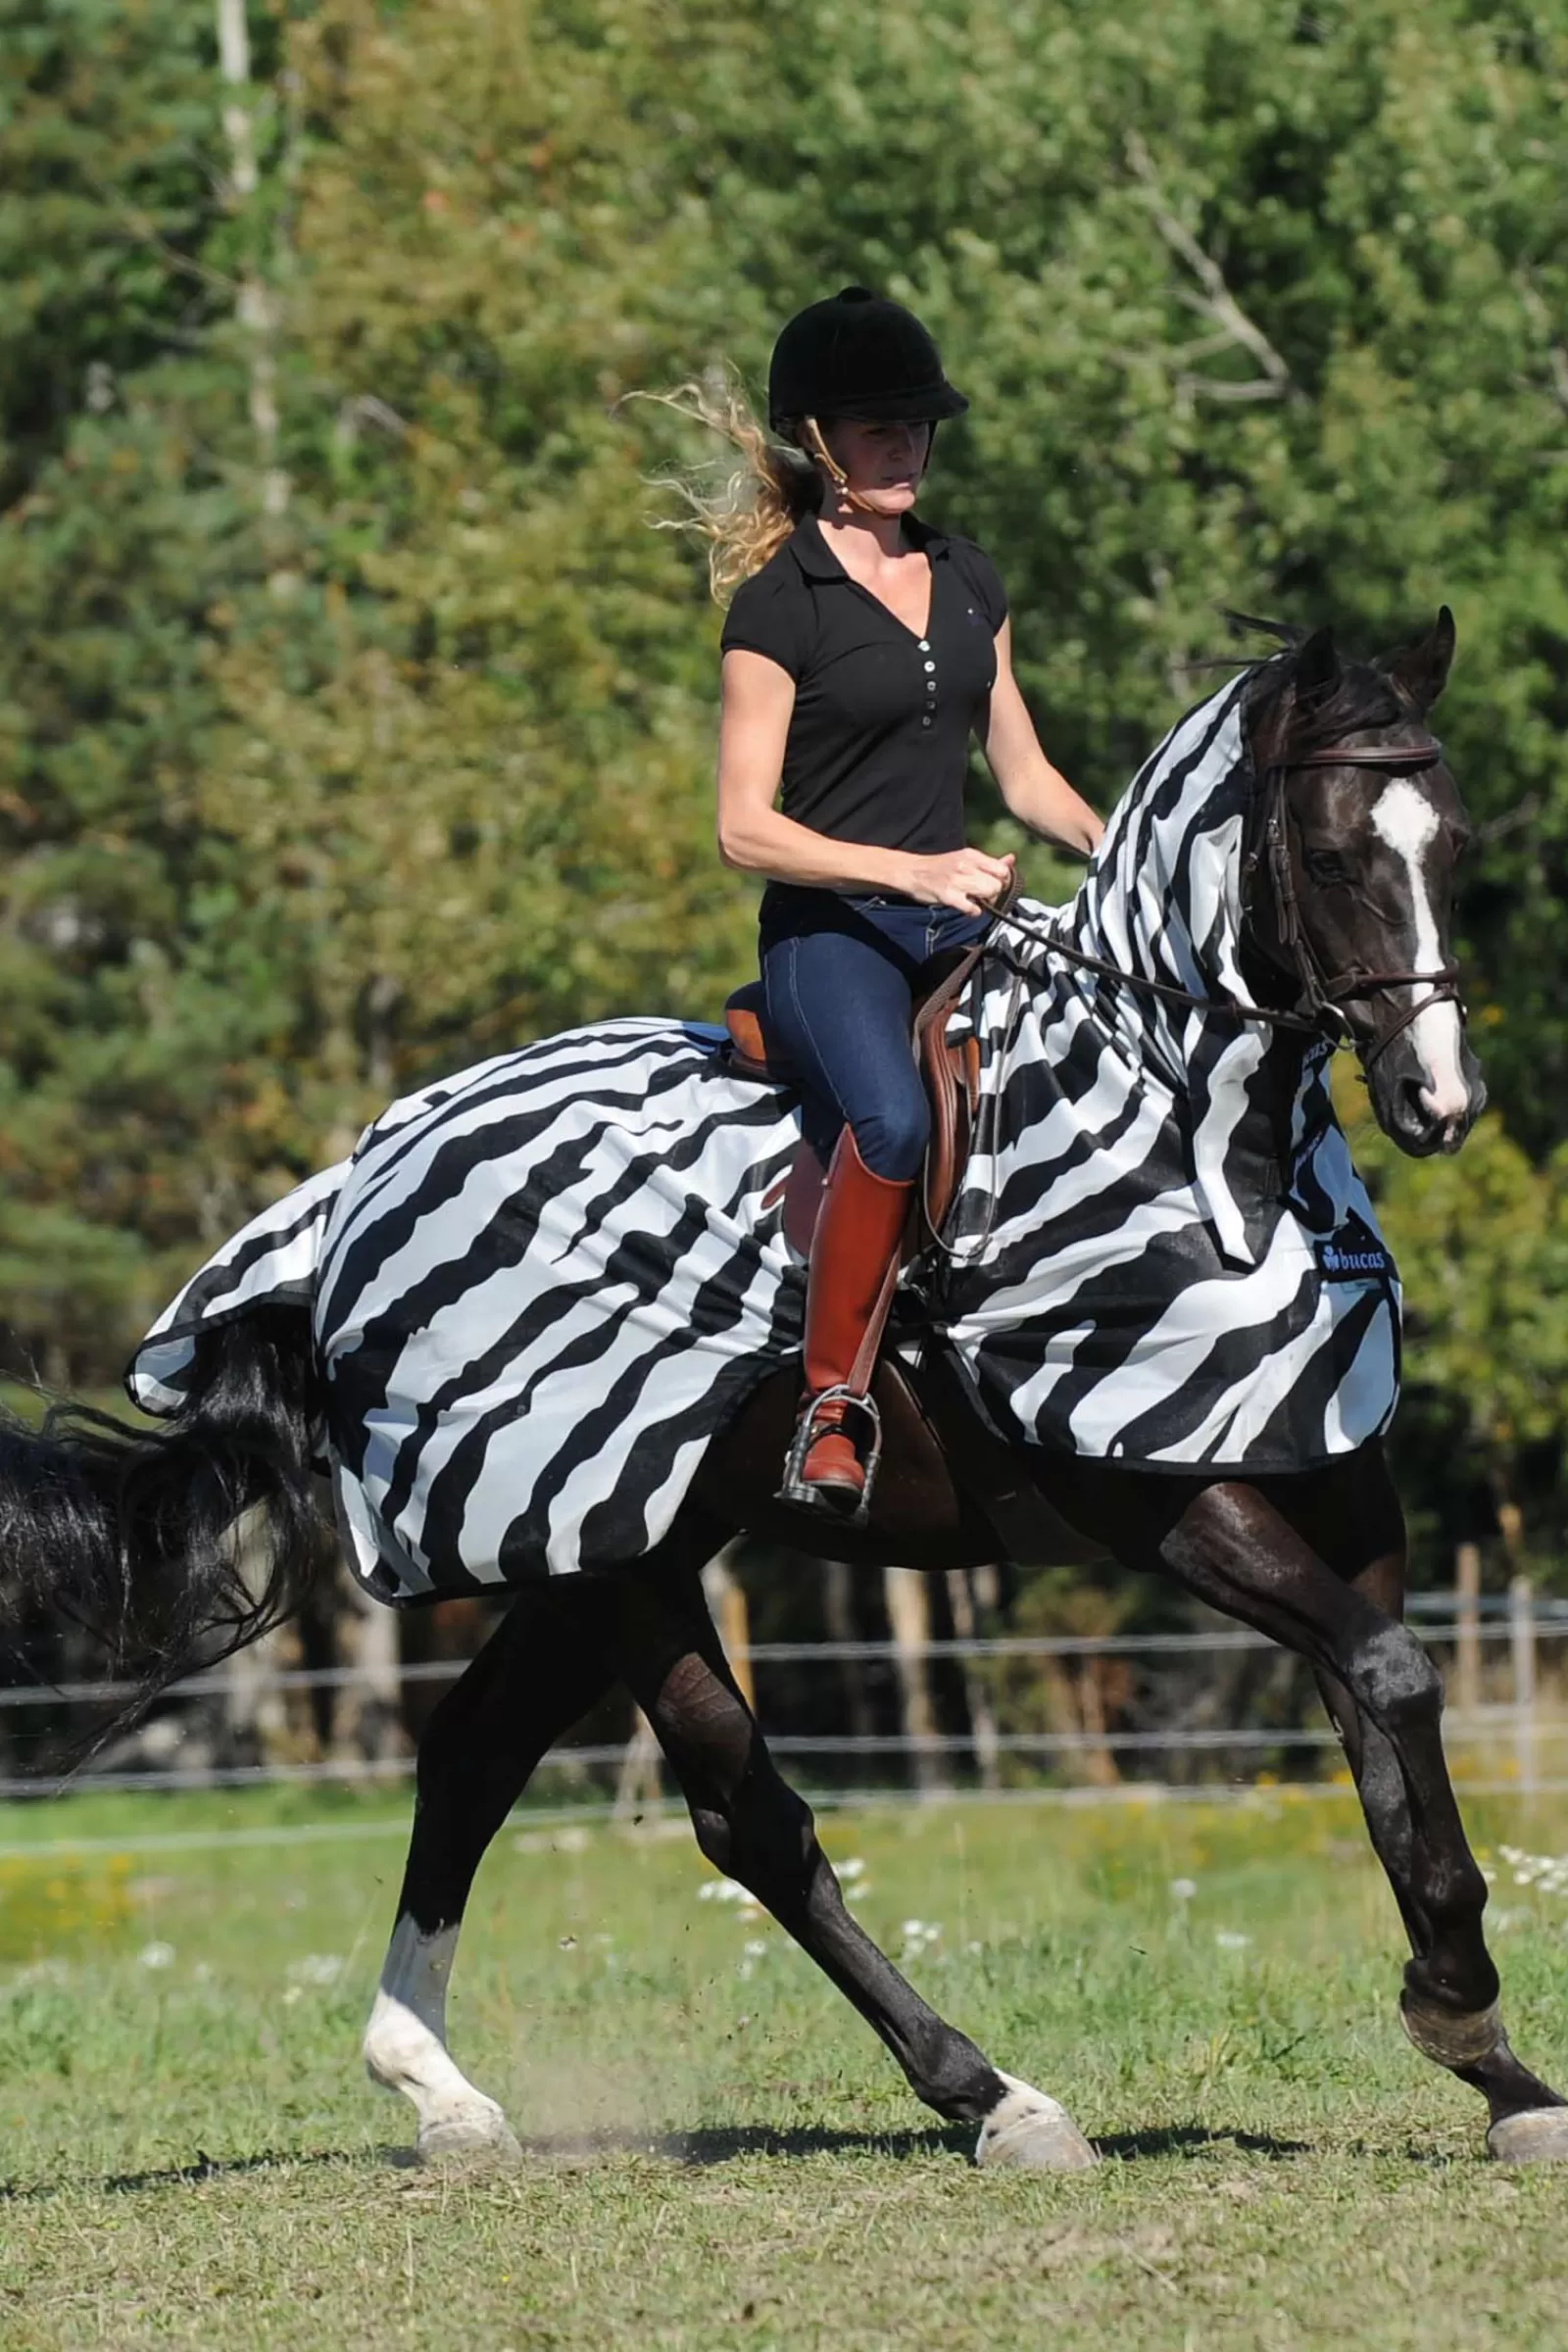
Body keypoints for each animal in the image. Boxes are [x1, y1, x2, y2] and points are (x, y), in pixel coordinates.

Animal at [6, 612, 1560, 2164]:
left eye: (1452, 844)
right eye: (1338, 855)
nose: (1438, 1102)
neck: (1190, 1136)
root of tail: (356, 1188)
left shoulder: (1337, 1486)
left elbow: (1381, 1716)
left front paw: (1495, 2065)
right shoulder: (1150, 1495)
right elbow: (1387, 1674)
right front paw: (1457, 2009)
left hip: (602, 1536)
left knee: (471, 1756)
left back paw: (436, 2087)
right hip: (619, 1563)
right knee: (743, 1818)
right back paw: (990, 2095)